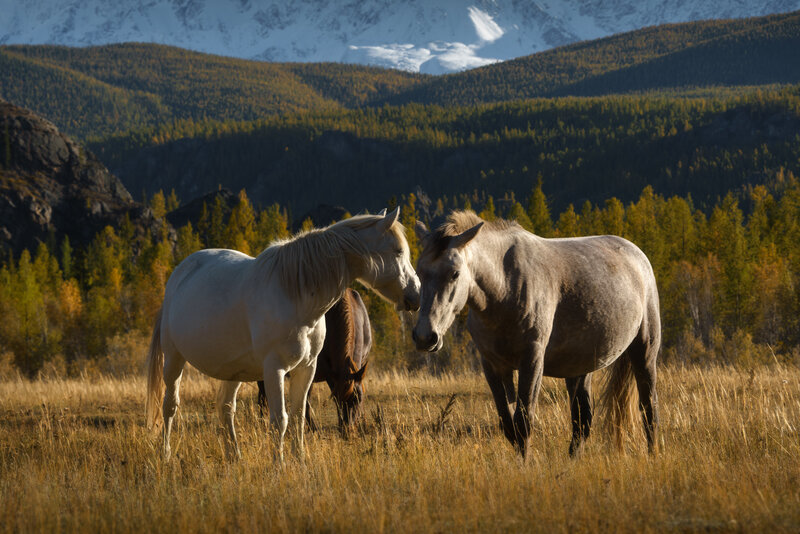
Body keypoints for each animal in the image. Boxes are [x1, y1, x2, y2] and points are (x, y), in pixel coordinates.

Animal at [256, 287, 372, 434]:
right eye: (336, 398)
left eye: (358, 398)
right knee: (263, 397)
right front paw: (312, 427)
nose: (347, 429)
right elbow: (306, 400)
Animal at [412, 211, 660, 457]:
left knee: (649, 408)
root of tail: (637, 255)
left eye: (455, 274)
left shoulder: (531, 360)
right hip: (579, 368)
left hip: (644, 352)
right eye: (419, 272)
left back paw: (653, 453)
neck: (504, 287)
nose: (425, 336)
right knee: (582, 421)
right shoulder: (493, 366)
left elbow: (523, 423)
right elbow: (508, 425)